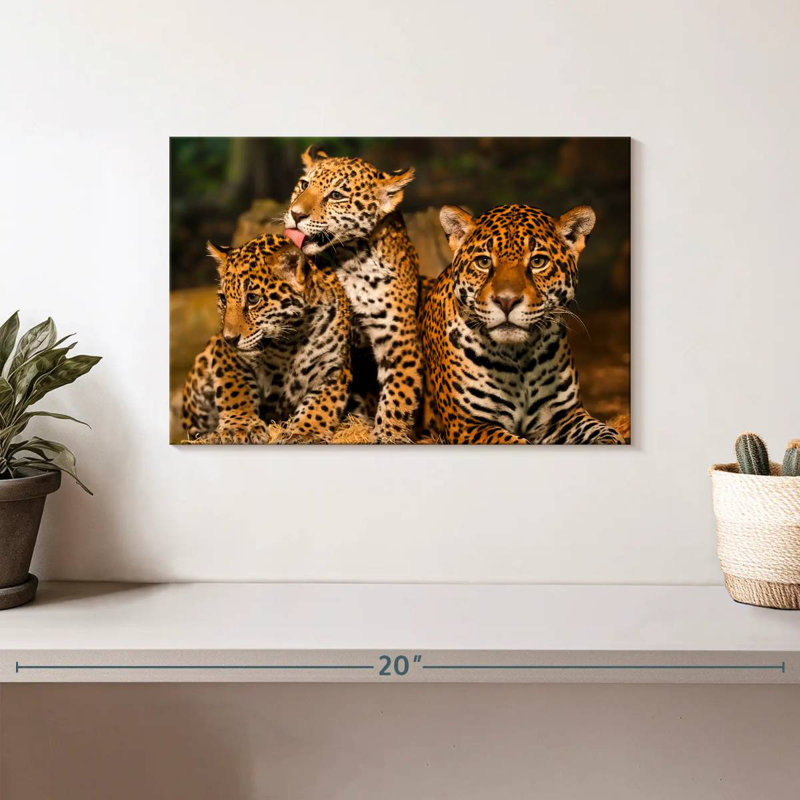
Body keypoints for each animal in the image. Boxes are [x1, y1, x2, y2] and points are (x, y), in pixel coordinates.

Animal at [182, 233, 352, 444]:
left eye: (253, 299)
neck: (291, 340)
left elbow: (321, 405)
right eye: (223, 299)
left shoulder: (335, 368)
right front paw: (240, 427)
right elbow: (236, 389)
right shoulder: (226, 356)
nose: (229, 338)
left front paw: (305, 432)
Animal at [283, 145, 422, 443]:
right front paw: (303, 431)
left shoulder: (400, 340)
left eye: (336, 195)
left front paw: (388, 435)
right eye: (304, 184)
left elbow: (399, 394)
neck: (350, 260)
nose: (295, 214)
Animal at [420, 203, 625, 445]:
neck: (518, 357)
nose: (506, 301)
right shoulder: (468, 425)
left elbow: (607, 433)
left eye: (538, 262)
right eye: (483, 262)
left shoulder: (564, 416)